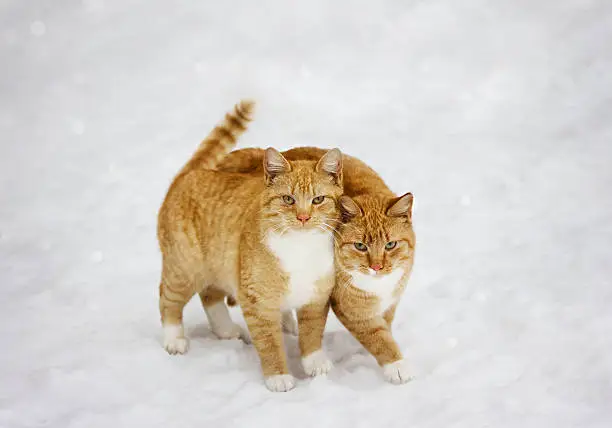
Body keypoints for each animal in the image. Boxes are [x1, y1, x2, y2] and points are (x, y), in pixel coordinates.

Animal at [158, 101, 344, 392]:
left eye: (318, 199)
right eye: (288, 199)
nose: (303, 217)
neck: (300, 247)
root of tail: (189, 174)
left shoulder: (316, 297)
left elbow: (312, 334)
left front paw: (314, 362)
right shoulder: (257, 303)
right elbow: (269, 344)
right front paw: (278, 376)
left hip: (218, 265)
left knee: (209, 295)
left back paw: (225, 329)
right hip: (184, 268)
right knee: (168, 299)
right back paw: (174, 339)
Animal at [216, 146, 416, 384]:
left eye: (390, 245)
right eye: (360, 246)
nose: (377, 267)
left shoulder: (390, 303)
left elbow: (385, 327)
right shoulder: (351, 310)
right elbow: (379, 338)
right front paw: (397, 365)